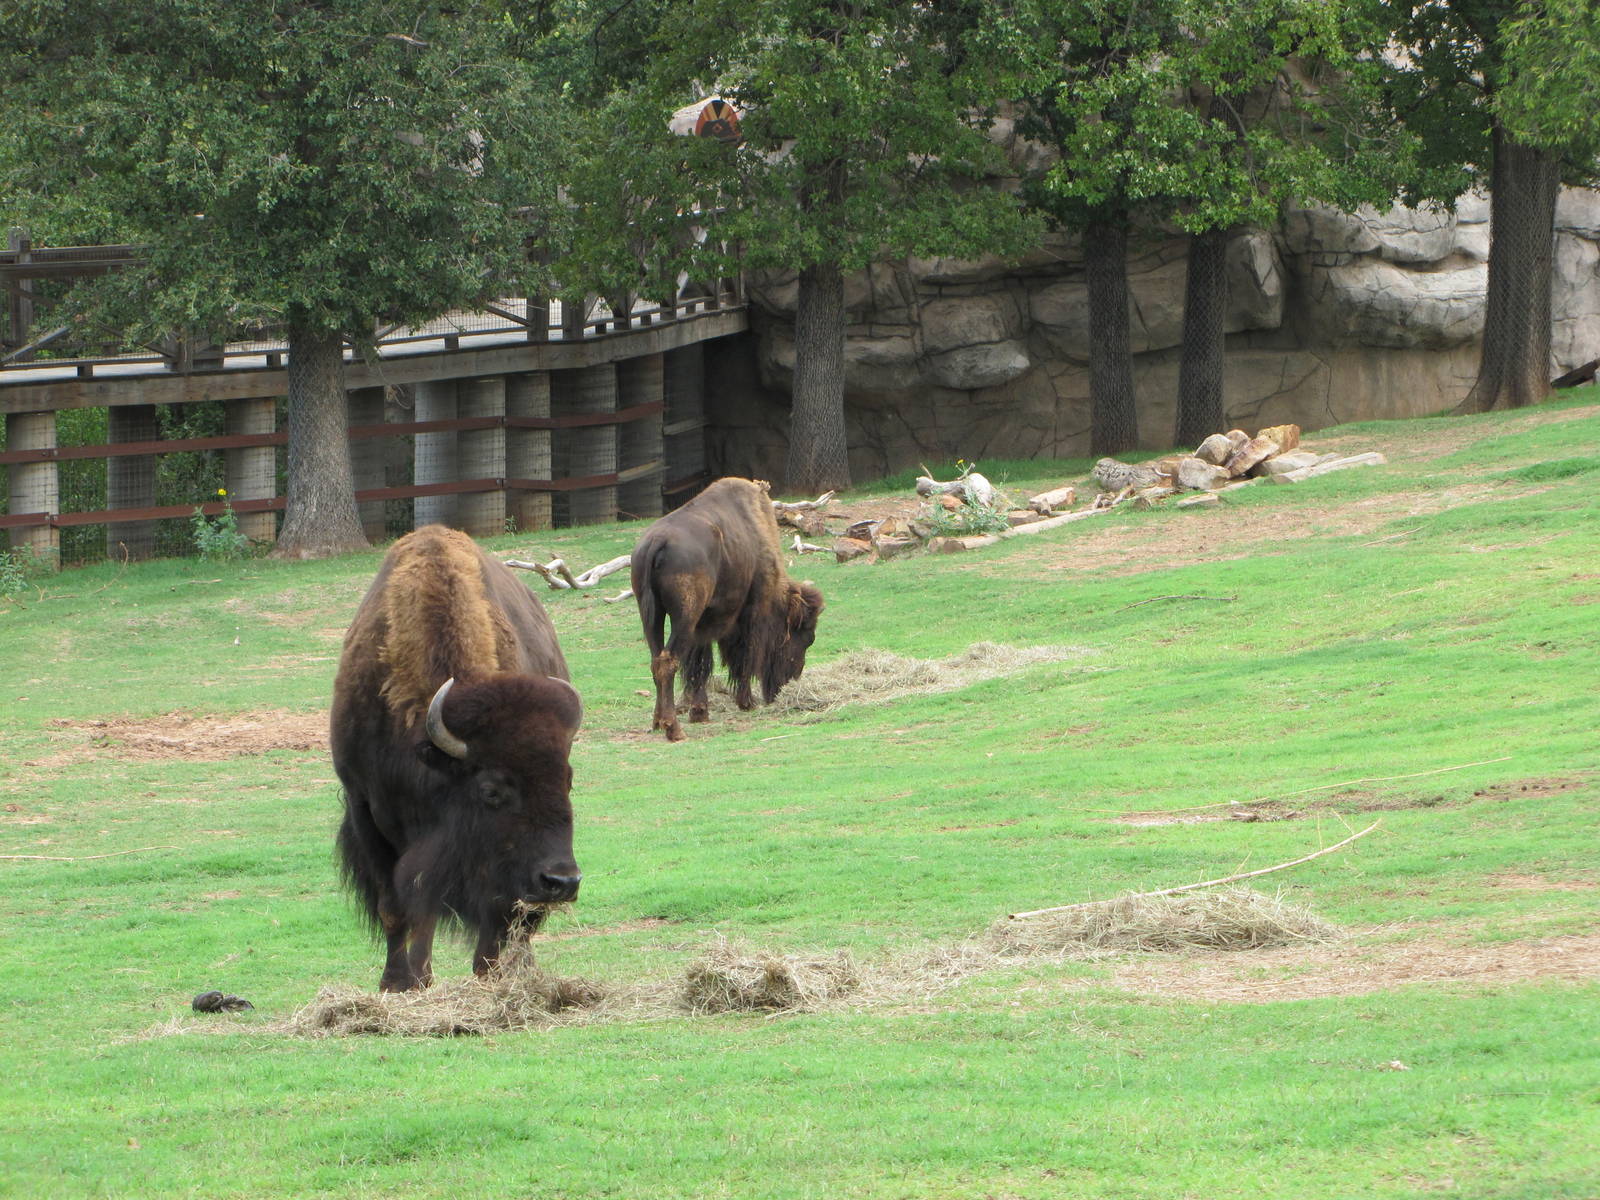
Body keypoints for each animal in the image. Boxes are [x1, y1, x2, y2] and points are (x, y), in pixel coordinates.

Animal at [330, 525, 582, 991]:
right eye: (491, 790)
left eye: (567, 779)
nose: (562, 881)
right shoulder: (365, 808)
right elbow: (400, 906)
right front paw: (401, 982)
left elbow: (493, 910)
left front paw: (486, 976)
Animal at [632, 477, 824, 741]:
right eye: (806, 638)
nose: (787, 683)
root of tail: (657, 541)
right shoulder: (752, 611)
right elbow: (745, 655)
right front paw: (746, 702)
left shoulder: (703, 624)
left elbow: (701, 664)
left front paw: (700, 712)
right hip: (684, 617)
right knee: (668, 661)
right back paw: (674, 729)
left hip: (652, 616)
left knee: (656, 659)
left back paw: (658, 721)